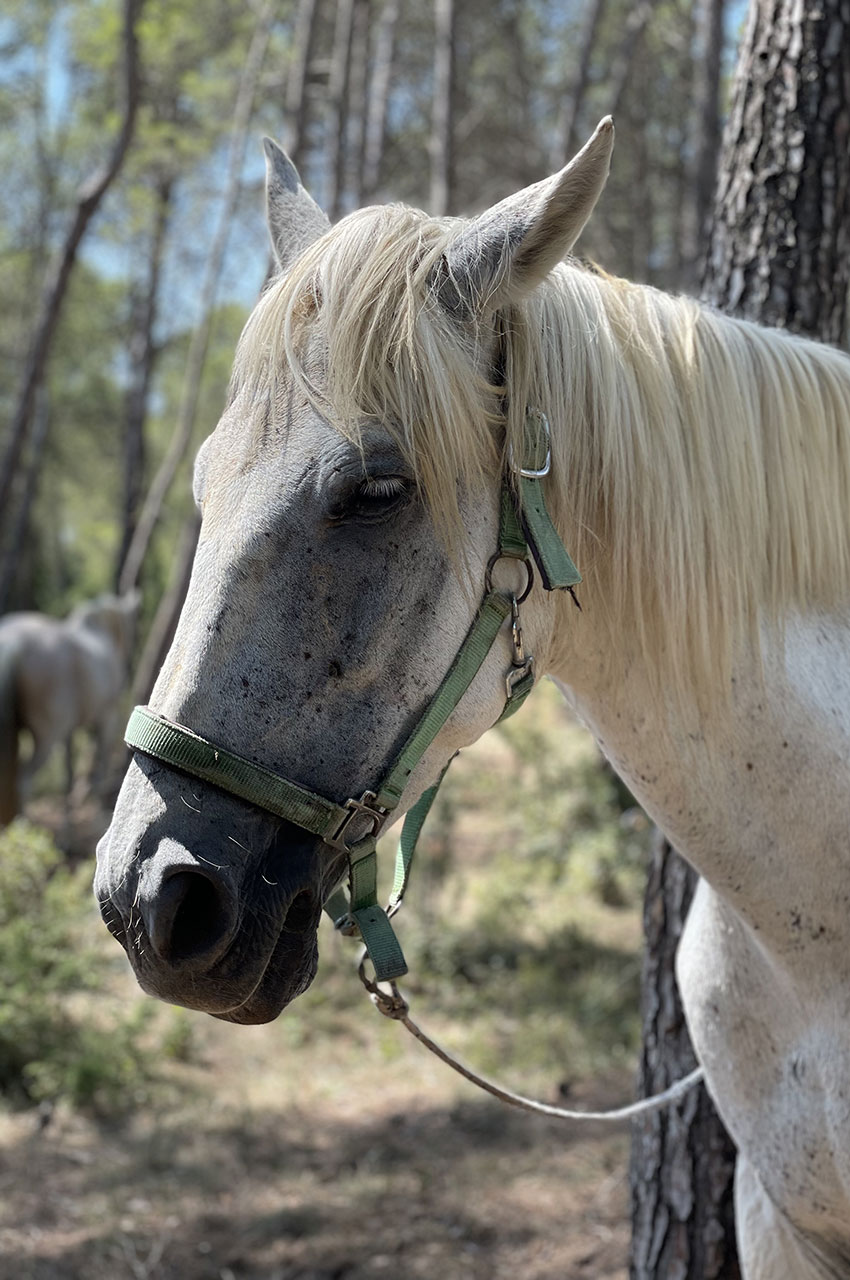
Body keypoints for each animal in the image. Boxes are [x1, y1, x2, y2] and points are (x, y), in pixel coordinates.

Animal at [0, 591, 138, 824]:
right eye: (131, 624)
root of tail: (14, 644)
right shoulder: (106, 717)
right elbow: (100, 759)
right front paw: (99, 809)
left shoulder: (70, 729)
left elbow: (69, 768)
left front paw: (68, 811)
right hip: (47, 736)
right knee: (24, 780)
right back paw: (23, 822)